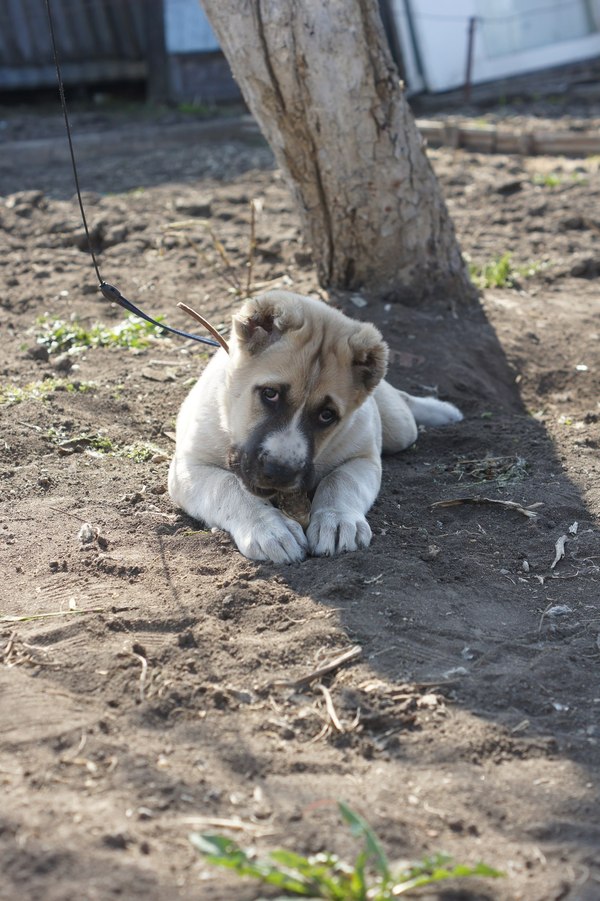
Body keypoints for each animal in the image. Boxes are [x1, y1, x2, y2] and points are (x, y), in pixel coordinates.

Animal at [170, 292, 464, 564]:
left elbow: (341, 481)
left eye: (327, 415)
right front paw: (270, 528)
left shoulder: (364, 459)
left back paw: (442, 411)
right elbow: (230, 488)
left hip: (399, 429)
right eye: (269, 394)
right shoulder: (188, 468)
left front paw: (337, 520)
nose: (280, 472)